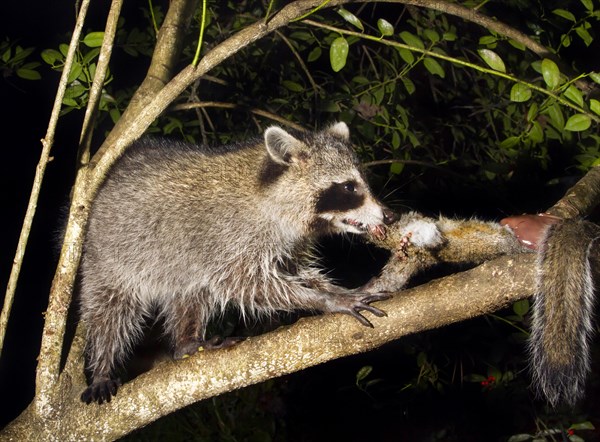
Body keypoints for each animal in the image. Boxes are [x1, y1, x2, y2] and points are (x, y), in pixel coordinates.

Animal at [79, 121, 398, 404]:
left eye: (362, 182)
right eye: (349, 188)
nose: (390, 216)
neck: (272, 196)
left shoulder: (284, 242)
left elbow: (293, 270)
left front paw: (336, 290)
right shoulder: (231, 237)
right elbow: (244, 283)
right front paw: (327, 300)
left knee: (192, 293)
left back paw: (186, 340)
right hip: (107, 257)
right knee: (110, 310)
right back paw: (104, 362)